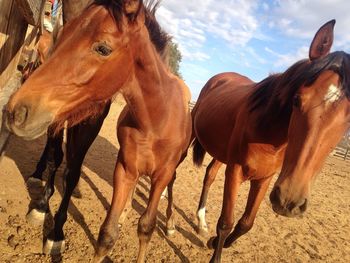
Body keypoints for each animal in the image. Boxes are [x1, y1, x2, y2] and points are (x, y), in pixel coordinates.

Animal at [5, 0, 191, 262]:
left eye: (103, 48)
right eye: (64, 35)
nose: (16, 111)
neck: (156, 120)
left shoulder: (160, 173)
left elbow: (146, 226)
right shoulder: (124, 168)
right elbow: (107, 234)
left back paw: (171, 223)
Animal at [191, 20, 350, 263]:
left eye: (349, 117)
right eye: (297, 100)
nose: (289, 201)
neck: (267, 133)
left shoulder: (265, 178)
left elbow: (245, 224)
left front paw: (213, 242)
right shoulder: (235, 172)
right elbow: (226, 223)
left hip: (221, 153)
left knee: (209, 175)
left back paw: (201, 222)